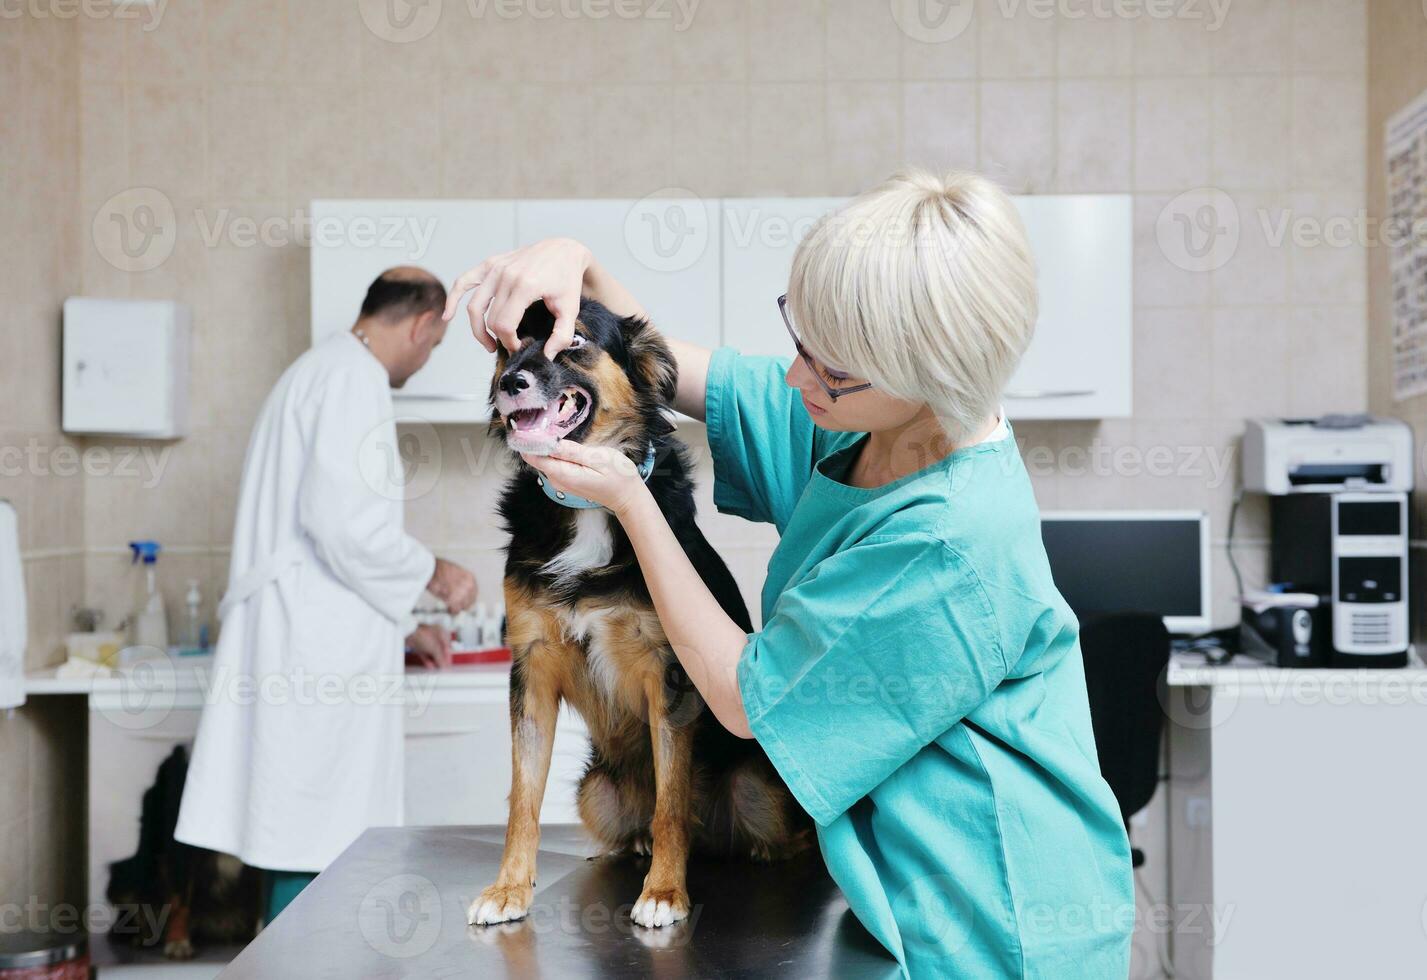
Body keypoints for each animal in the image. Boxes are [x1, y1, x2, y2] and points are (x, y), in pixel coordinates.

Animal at [465, 302, 804, 930]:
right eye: (506, 343)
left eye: (574, 338)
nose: (510, 383)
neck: (586, 510)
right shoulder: (531, 668)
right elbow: (523, 799)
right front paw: (508, 889)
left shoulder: (668, 675)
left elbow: (672, 802)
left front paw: (665, 893)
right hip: (596, 792)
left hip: (758, 787)